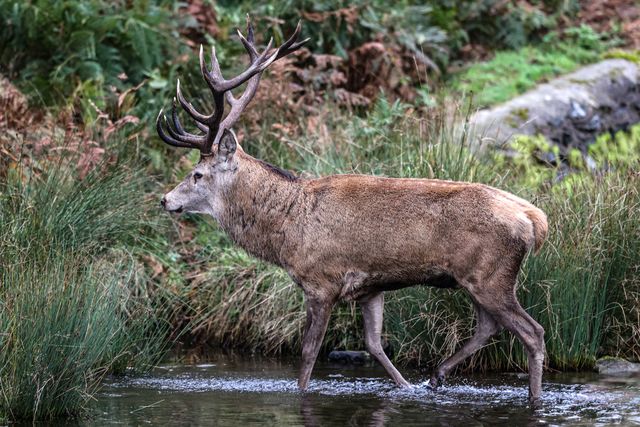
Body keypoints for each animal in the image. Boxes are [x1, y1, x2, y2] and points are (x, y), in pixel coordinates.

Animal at [156, 17, 549, 406]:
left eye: (197, 174)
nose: (165, 199)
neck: (286, 230)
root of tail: (534, 219)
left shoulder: (321, 282)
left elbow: (309, 354)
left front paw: (301, 393)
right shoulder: (370, 287)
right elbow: (374, 345)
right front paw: (406, 387)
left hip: (490, 274)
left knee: (533, 331)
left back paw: (532, 397)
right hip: (478, 279)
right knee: (489, 325)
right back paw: (436, 377)